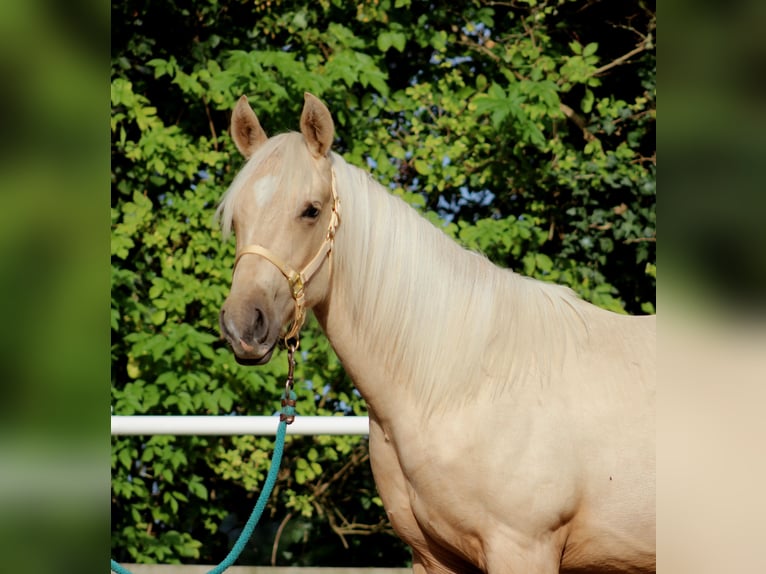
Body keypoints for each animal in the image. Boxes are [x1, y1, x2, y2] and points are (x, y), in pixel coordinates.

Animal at [219, 92, 656, 572]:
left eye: (311, 211)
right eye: (236, 219)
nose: (242, 325)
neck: (466, 385)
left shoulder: (522, 548)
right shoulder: (432, 556)